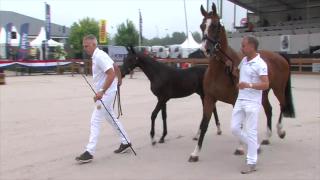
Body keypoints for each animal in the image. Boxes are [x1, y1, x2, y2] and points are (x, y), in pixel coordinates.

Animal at [188, 2, 296, 162]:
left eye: (215, 25)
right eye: (202, 26)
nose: (205, 49)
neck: (222, 68)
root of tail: (279, 55)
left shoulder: (236, 101)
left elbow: (239, 125)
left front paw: (239, 148)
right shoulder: (209, 99)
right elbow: (204, 124)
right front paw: (195, 153)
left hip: (278, 88)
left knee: (282, 105)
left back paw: (280, 131)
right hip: (263, 93)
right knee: (269, 110)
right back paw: (266, 137)